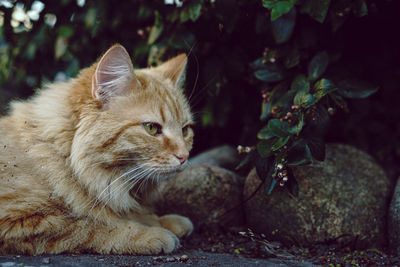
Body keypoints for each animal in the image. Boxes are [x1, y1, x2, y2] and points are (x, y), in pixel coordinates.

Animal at [0, 44, 195, 255]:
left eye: (185, 130)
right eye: (151, 128)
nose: (184, 156)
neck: (65, 160)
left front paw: (162, 221)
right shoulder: (19, 219)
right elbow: (91, 226)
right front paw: (150, 234)